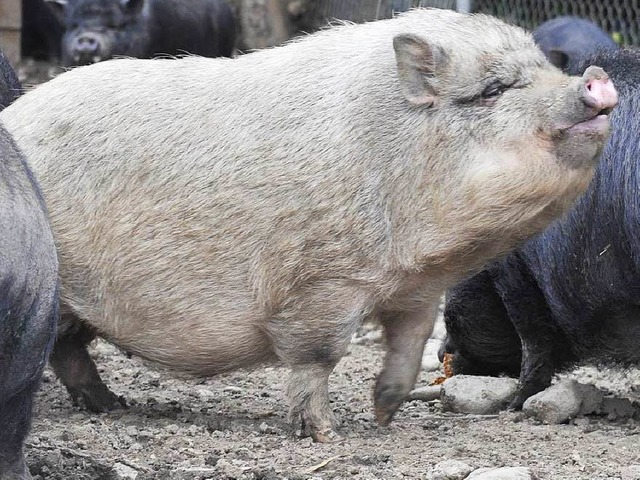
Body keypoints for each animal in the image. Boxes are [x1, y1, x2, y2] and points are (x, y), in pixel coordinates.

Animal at [0, 8, 616, 442]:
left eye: (546, 68)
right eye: (493, 90)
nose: (595, 80)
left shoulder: (416, 289)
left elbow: (410, 344)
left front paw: (384, 414)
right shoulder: (320, 282)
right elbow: (317, 357)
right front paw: (325, 435)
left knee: (67, 349)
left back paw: (113, 406)